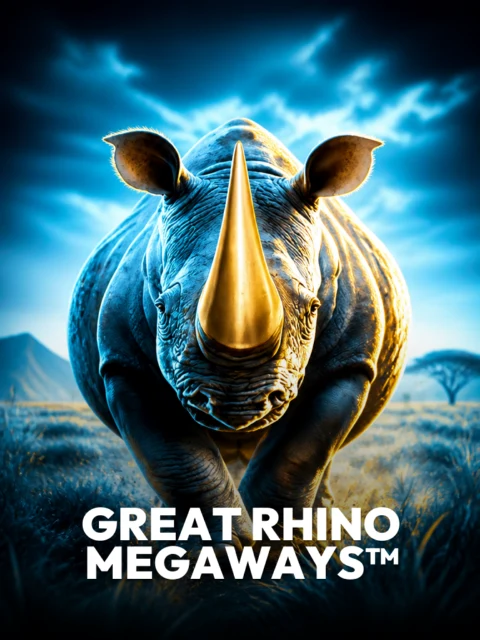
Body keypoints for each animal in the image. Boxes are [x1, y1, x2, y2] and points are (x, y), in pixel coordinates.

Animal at [68, 118, 410, 549]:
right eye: (162, 307)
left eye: (313, 308)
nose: (237, 404)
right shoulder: (123, 362)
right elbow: (180, 463)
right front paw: (219, 551)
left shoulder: (351, 362)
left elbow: (296, 458)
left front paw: (272, 551)